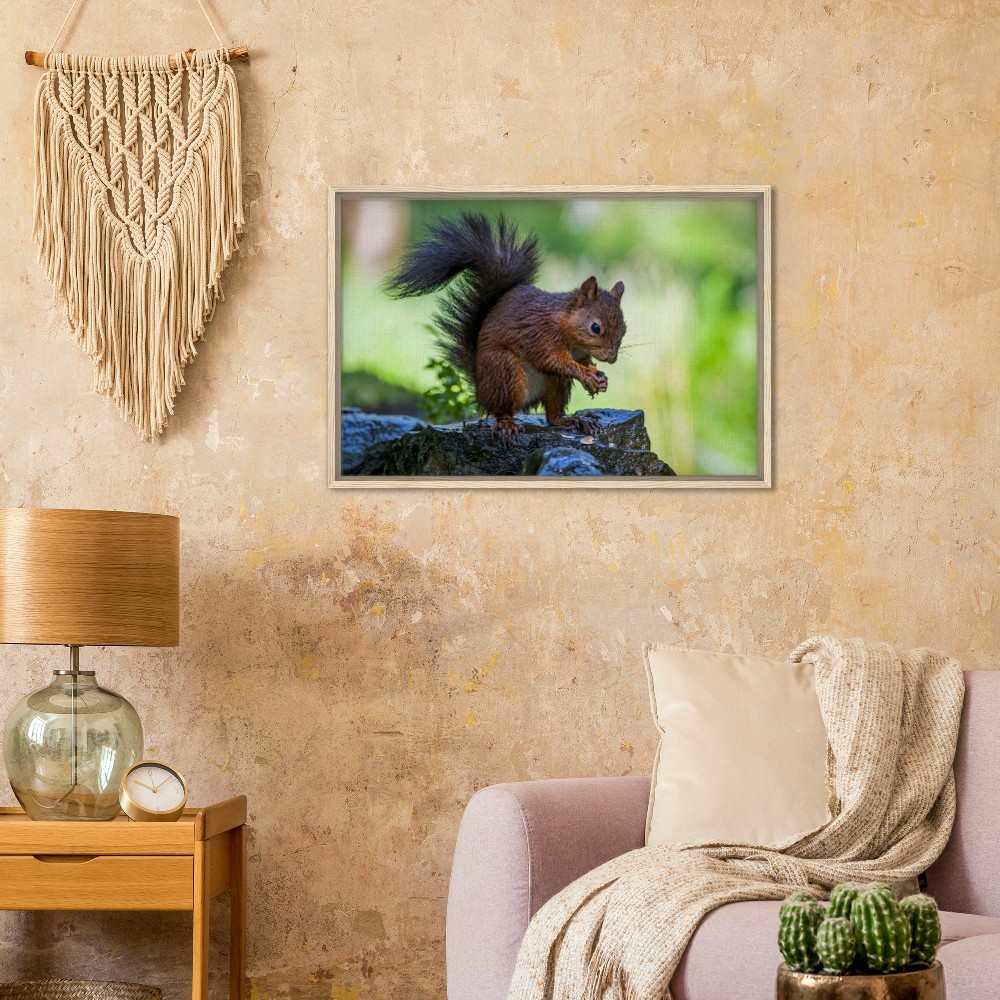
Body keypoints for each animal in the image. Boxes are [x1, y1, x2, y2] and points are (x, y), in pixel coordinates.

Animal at [386, 212, 626, 442]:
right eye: (596, 328)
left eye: (624, 329)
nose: (612, 358)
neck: (567, 327)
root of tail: (481, 389)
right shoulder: (541, 335)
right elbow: (551, 360)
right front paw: (587, 376)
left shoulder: (579, 352)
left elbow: (582, 362)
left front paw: (599, 378)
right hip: (504, 371)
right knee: (502, 409)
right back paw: (507, 424)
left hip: (555, 384)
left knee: (552, 415)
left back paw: (575, 420)